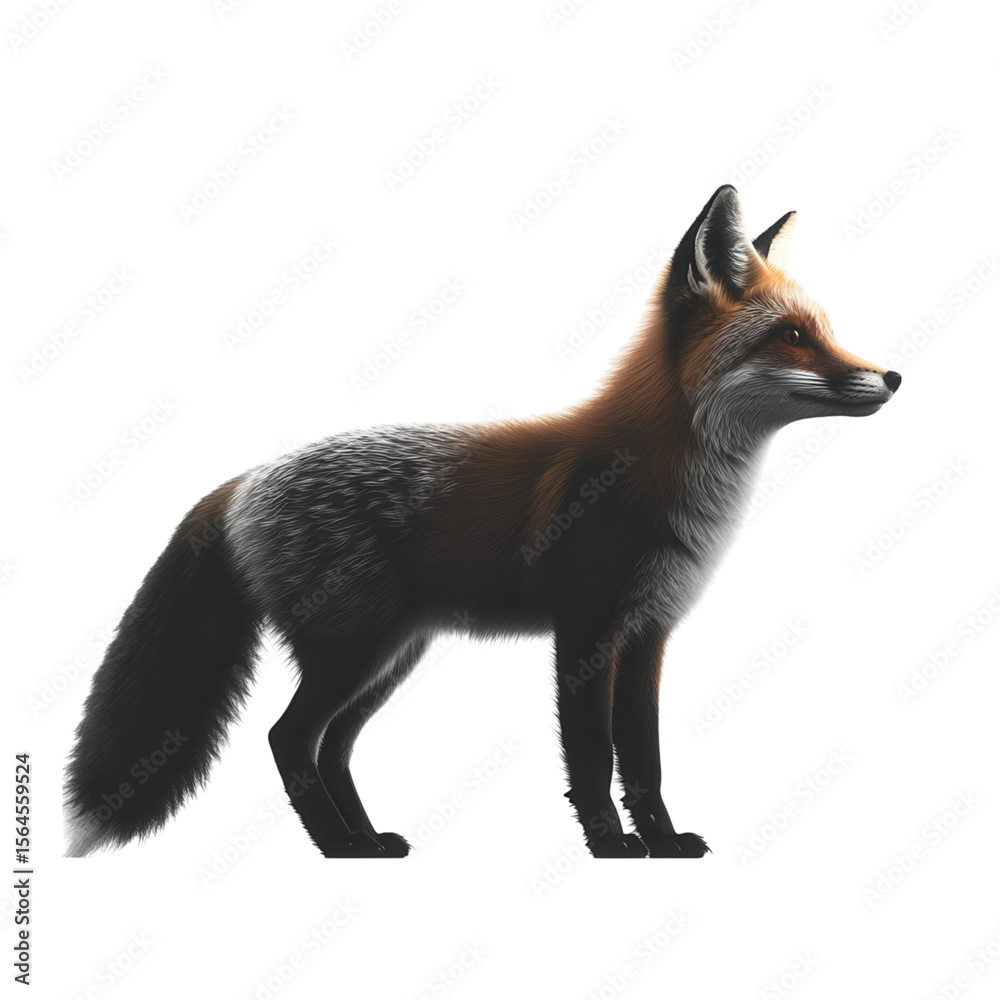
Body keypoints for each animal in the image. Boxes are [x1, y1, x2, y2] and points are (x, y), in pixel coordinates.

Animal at [65, 185, 900, 859]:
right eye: (792, 335)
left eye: (821, 329)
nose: (892, 375)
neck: (663, 480)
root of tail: (241, 481)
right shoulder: (586, 630)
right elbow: (593, 755)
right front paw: (612, 848)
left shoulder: (649, 632)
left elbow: (645, 758)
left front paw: (662, 843)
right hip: (355, 651)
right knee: (287, 739)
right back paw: (337, 848)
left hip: (391, 656)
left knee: (330, 749)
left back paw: (368, 841)